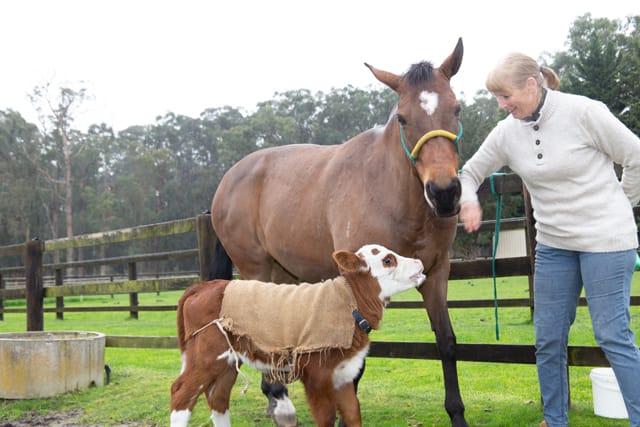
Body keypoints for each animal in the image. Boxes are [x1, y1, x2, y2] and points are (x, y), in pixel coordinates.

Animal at [170, 244, 426, 427]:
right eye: (388, 260)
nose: (420, 263)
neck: (348, 301)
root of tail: (202, 286)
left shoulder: (343, 373)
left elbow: (353, 414)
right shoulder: (317, 375)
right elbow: (326, 417)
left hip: (229, 361)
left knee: (218, 398)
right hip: (207, 354)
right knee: (181, 393)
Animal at [210, 38, 468, 427]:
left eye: (456, 109)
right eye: (403, 118)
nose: (444, 193)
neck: (391, 194)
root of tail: (226, 180)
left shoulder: (436, 274)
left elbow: (447, 342)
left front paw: (457, 414)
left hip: (284, 276)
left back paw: (275, 396)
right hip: (257, 269)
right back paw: (279, 401)